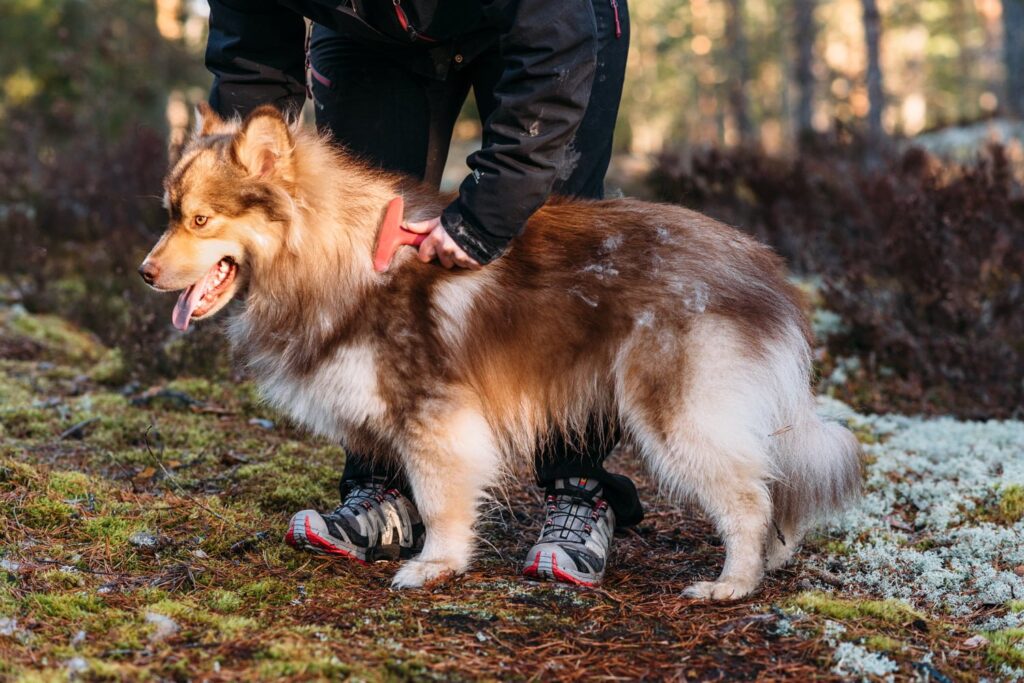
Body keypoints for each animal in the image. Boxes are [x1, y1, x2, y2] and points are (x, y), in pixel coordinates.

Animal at [140, 104, 860, 602]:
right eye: (169, 213)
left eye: (201, 220)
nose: (145, 273)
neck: (336, 252)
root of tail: (767, 272)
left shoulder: (435, 416)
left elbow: (439, 499)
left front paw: (435, 564)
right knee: (772, 483)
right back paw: (770, 559)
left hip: (675, 416)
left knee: (749, 496)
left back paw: (733, 582)